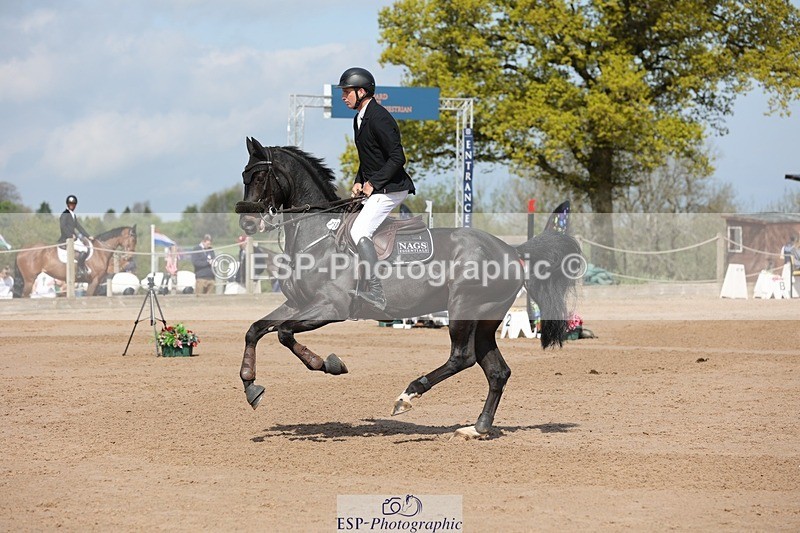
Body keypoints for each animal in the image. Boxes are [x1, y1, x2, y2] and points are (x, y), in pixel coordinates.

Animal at [235, 138, 582, 438]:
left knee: (462, 358)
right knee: (497, 371)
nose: (248, 224)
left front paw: (329, 364)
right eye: (244, 175)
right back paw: (477, 428)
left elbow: (283, 333)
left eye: (260, 176)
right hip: (485, 319)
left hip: (463, 308)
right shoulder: (298, 303)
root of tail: (511, 251)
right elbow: (255, 329)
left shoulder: (330, 308)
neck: (320, 234)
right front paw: (251, 386)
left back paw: (408, 395)